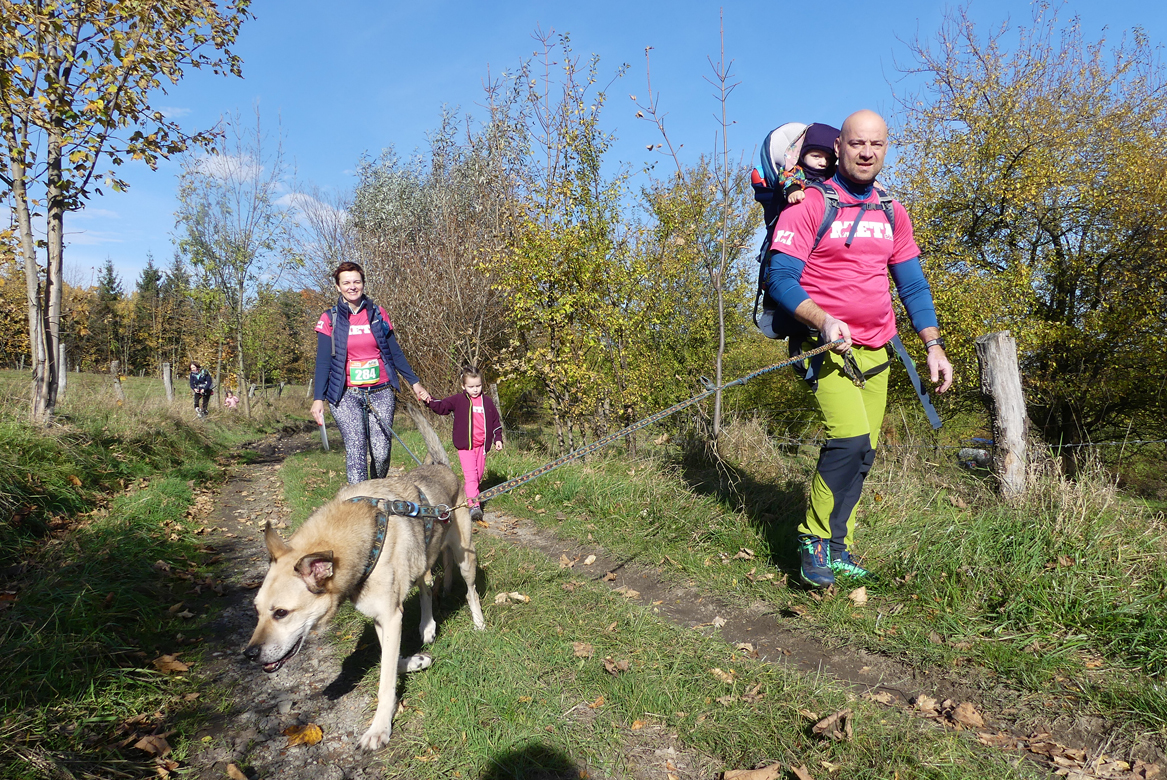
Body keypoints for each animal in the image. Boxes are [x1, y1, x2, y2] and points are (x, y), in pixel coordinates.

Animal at [243, 408, 486, 750]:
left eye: (281, 613)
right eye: (256, 610)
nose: (249, 654)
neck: (365, 537)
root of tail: (440, 466)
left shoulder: (390, 615)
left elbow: (385, 679)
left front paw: (379, 728)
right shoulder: (381, 616)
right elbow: (389, 659)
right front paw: (415, 661)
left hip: (466, 556)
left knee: (470, 590)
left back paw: (478, 621)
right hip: (422, 558)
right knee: (426, 588)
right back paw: (427, 626)